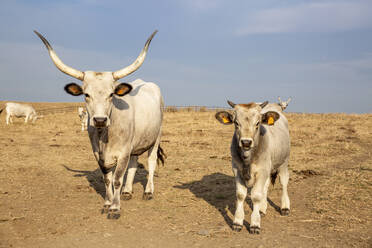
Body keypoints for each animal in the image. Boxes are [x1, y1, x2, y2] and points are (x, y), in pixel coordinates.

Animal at [35, 28, 166, 219]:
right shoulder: (99, 153)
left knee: (151, 162)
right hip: (135, 143)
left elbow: (117, 179)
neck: (105, 136)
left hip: (156, 138)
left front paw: (115, 208)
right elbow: (107, 179)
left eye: (111, 94)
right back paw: (127, 191)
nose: (100, 120)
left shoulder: (123, 152)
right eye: (86, 94)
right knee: (134, 164)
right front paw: (107, 203)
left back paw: (148, 191)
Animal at [215, 100, 290, 233]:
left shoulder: (262, 170)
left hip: (283, 162)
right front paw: (238, 222)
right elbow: (241, 195)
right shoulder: (237, 170)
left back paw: (285, 207)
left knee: (284, 182)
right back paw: (262, 209)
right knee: (265, 187)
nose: (246, 142)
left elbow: (256, 196)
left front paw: (255, 223)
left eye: (258, 123)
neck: (248, 158)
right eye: (236, 123)